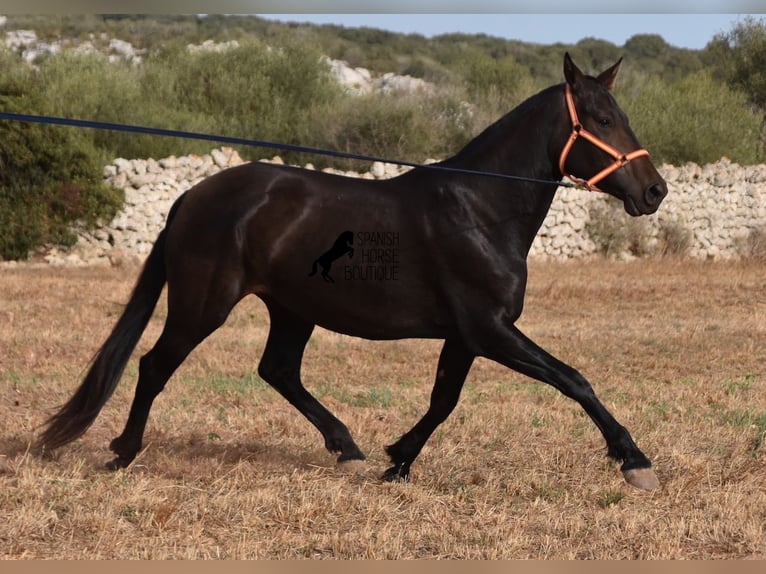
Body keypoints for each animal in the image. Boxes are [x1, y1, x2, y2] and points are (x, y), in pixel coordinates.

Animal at [39, 54, 668, 492]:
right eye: (603, 119)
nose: (655, 191)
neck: (479, 209)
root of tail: (193, 195)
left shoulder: (468, 335)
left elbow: (444, 400)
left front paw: (397, 462)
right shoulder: (489, 328)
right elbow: (573, 379)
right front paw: (634, 461)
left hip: (292, 308)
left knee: (278, 371)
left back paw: (346, 448)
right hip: (203, 305)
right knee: (155, 365)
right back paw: (123, 451)